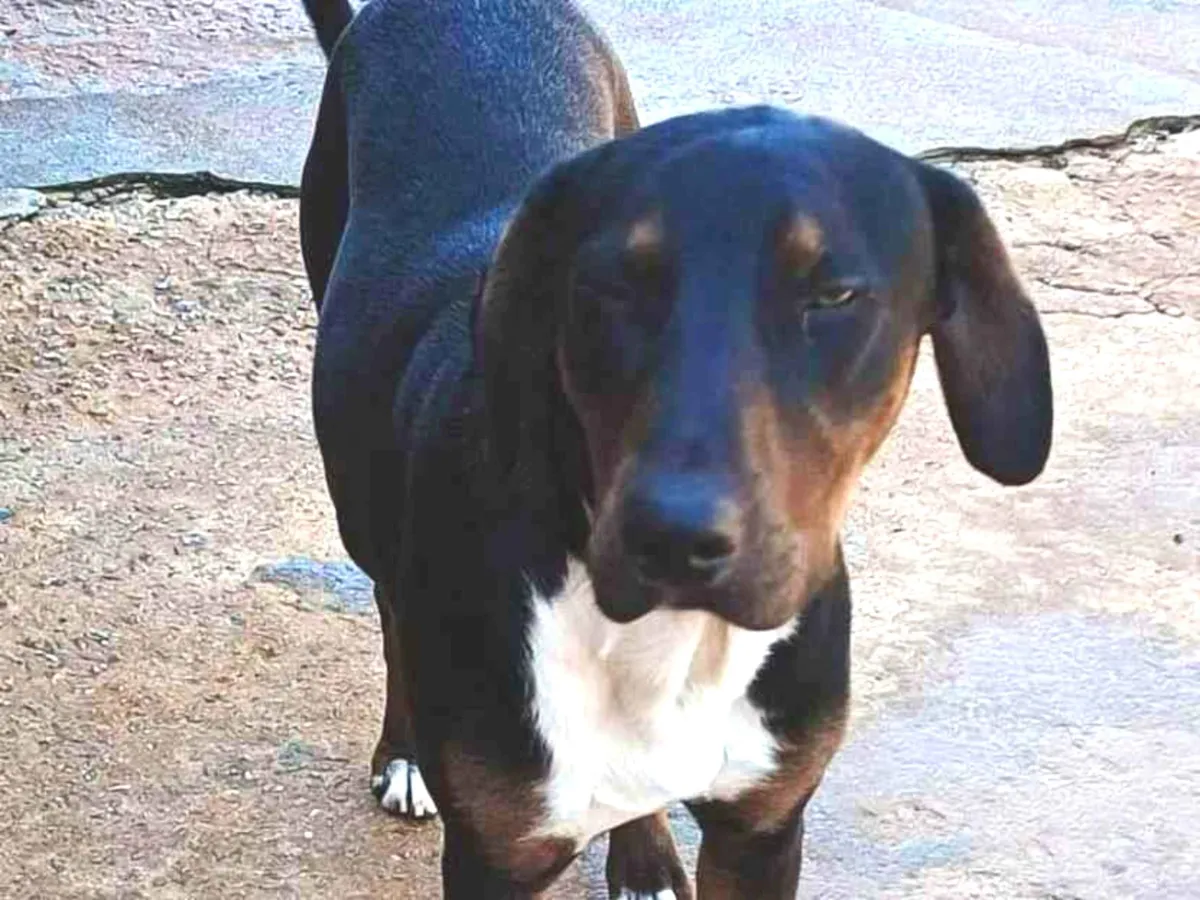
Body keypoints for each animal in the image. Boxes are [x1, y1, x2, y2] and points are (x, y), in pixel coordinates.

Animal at [299, 2, 1053, 897]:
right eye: (611, 285)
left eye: (834, 294)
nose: (675, 536)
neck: (670, 643)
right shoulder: (495, 853)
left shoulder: (763, 829)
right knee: (388, 598)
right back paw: (407, 753)